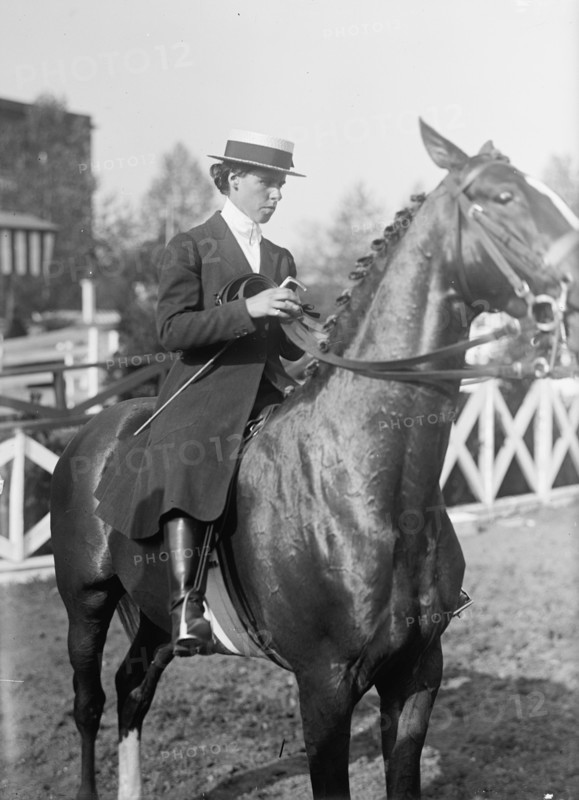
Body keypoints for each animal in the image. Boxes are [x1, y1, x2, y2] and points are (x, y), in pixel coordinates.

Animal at [51, 120, 579, 800]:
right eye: (504, 197)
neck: (373, 485)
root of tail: (89, 435)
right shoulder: (324, 687)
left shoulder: (418, 674)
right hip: (86, 601)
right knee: (89, 702)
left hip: (152, 615)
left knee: (132, 688)